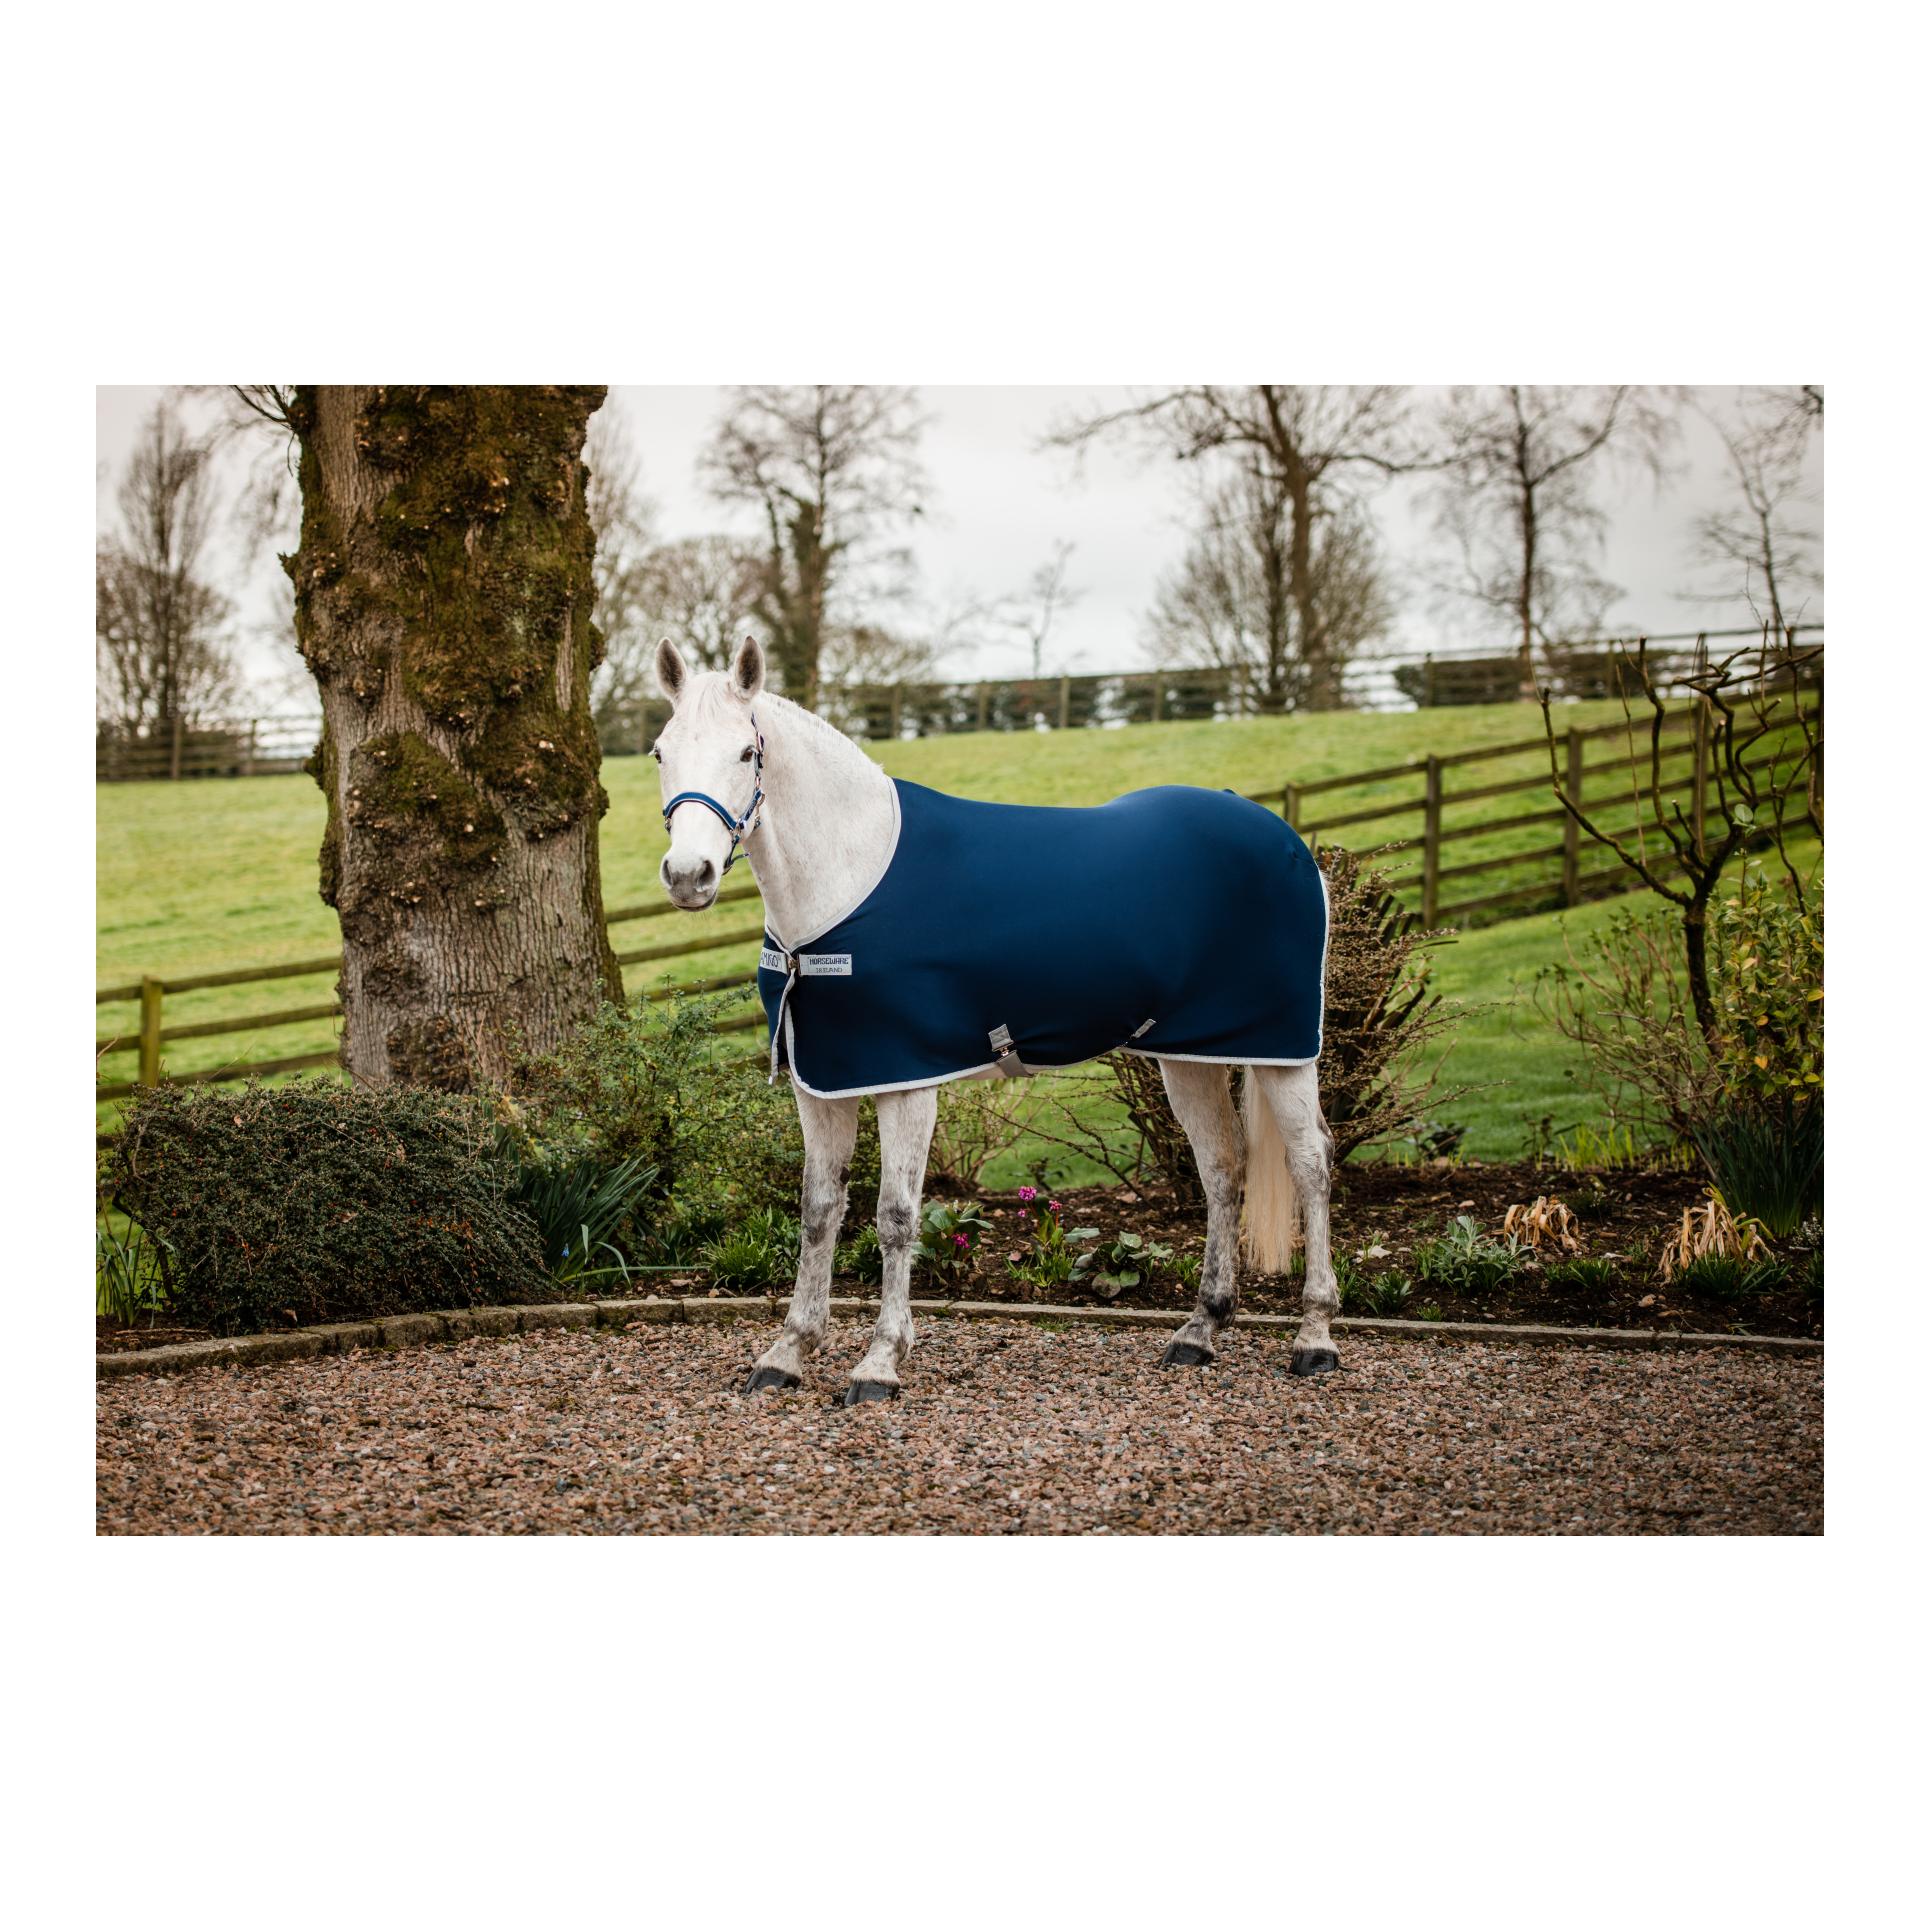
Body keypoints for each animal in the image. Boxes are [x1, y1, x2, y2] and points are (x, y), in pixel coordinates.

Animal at [649, 633, 1339, 1404]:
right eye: (660, 751)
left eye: (746, 752)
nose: (688, 876)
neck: (847, 878)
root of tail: (1279, 835)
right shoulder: (820, 1083)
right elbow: (820, 1210)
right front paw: (788, 1351)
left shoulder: (906, 1081)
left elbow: (895, 1217)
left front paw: (880, 1362)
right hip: (1189, 1056)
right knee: (1221, 1167)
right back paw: (1201, 1330)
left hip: (1284, 1050)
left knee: (1311, 1163)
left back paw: (1315, 1337)